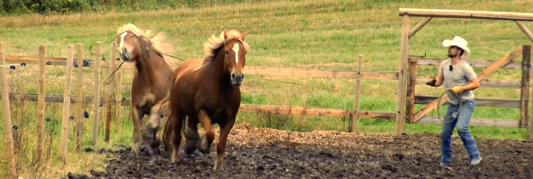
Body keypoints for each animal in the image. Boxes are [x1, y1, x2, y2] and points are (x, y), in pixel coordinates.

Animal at [116, 23, 175, 155]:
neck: (151, 76)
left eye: (132, 36)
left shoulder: (162, 104)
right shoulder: (136, 108)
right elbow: (136, 133)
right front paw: (135, 153)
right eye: (118, 40)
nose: (123, 52)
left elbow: (154, 120)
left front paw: (150, 139)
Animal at [163, 30, 248, 170]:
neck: (222, 89)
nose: (237, 77)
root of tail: (179, 70)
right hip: (177, 113)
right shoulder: (203, 112)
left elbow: (221, 145)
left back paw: (191, 144)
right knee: (176, 138)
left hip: (191, 113)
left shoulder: (230, 119)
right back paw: (175, 159)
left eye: (244, 52)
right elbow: (210, 134)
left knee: (191, 126)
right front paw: (203, 146)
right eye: (227, 52)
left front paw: (217, 167)